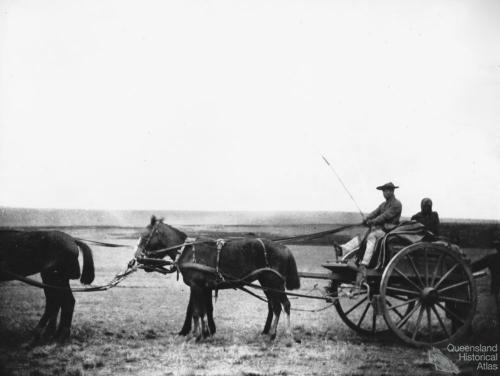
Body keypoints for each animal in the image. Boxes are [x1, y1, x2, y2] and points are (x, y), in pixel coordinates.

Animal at [134, 214, 300, 340]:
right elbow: (200, 310)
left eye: (145, 236)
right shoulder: (201, 287)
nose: (137, 257)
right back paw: (270, 334)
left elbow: (197, 311)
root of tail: (284, 248)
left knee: (284, 305)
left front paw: (198, 335)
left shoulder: (197, 286)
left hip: (275, 282)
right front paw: (201, 332)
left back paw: (286, 334)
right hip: (267, 283)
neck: (186, 251)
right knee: (275, 306)